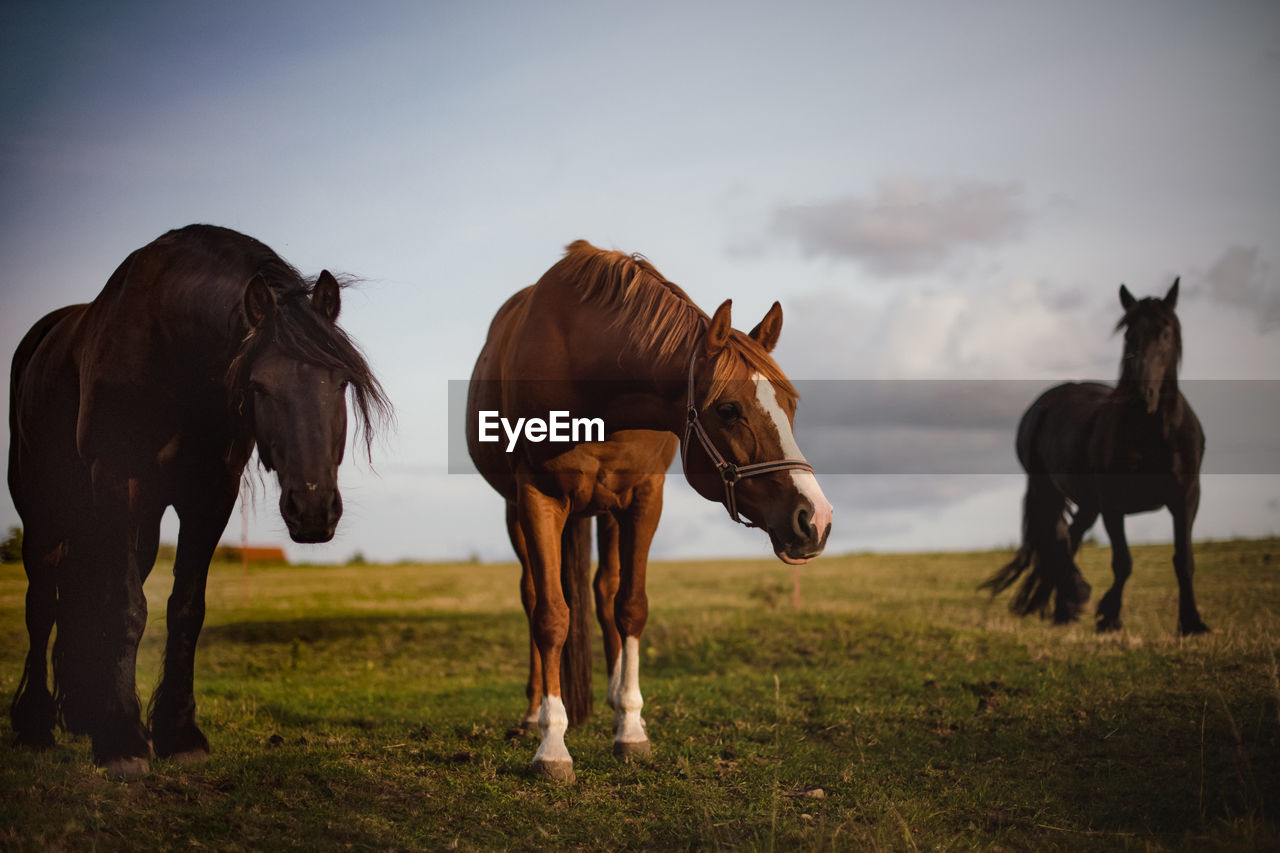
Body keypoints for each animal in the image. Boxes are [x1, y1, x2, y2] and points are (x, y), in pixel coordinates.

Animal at [8, 222, 389, 773]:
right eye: (258, 385)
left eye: (339, 382)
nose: (314, 509)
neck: (171, 350)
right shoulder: (116, 477)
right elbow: (124, 606)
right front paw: (122, 741)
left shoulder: (210, 493)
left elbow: (185, 609)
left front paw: (177, 732)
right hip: (45, 509)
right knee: (42, 601)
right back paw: (36, 725)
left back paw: (83, 714)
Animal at [465, 236, 834, 778]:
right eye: (728, 409)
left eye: (790, 406)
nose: (815, 520)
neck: (587, 377)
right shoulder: (537, 495)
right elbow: (551, 615)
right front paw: (552, 745)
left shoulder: (643, 499)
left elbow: (630, 607)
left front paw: (631, 728)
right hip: (521, 514)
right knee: (534, 596)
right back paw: (534, 714)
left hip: (605, 514)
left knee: (604, 593)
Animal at [977, 279, 1208, 630]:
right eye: (1128, 334)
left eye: (1166, 333)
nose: (1142, 394)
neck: (1150, 431)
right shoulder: (1113, 503)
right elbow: (1122, 561)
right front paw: (1109, 617)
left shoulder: (1186, 497)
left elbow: (1184, 559)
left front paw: (1192, 623)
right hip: (1047, 488)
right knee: (1057, 537)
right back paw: (1075, 600)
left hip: (1086, 501)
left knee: (1069, 537)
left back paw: (1066, 609)